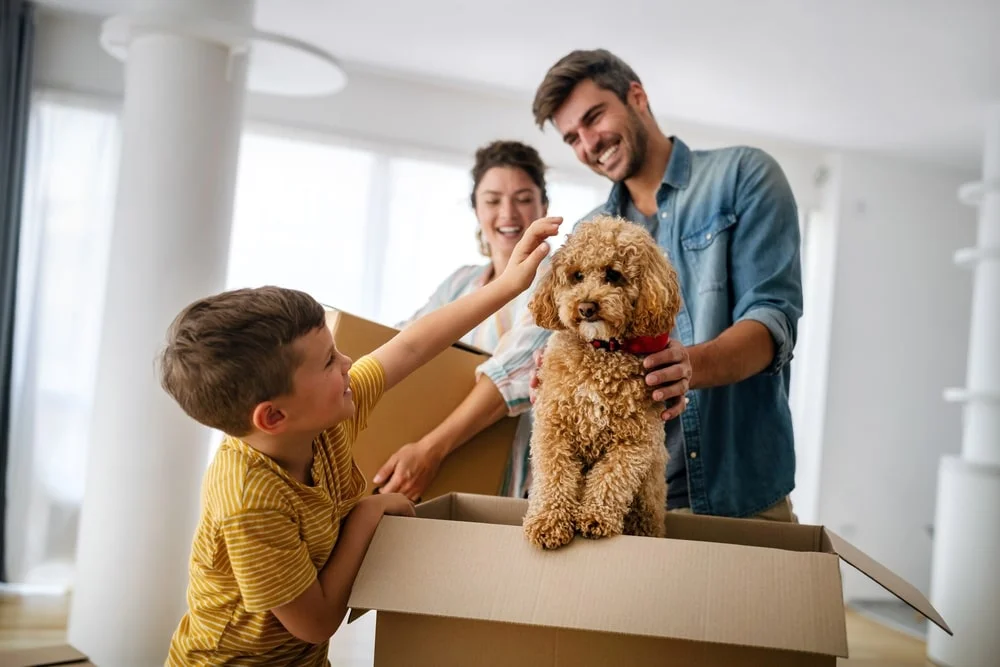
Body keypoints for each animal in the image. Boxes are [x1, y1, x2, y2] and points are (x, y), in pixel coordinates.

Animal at [520, 217, 684, 552]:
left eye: (613, 275)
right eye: (577, 276)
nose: (586, 307)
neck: (601, 351)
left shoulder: (635, 440)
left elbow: (612, 477)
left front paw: (595, 517)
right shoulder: (553, 428)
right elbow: (554, 476)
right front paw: (547, 522)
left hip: (646, 506)